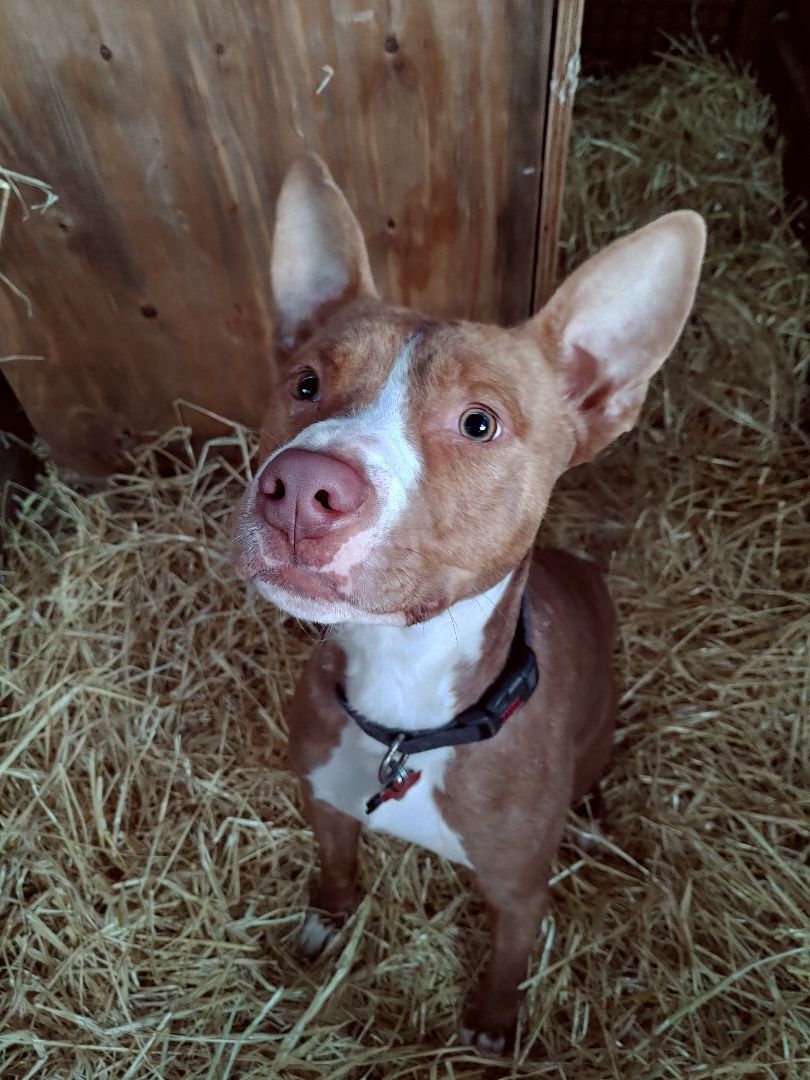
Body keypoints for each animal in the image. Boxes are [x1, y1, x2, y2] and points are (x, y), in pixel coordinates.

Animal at [231, 154, 708, 1054]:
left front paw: (489, 1028)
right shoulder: (325, 803)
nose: (302, 488)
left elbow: (505, 965)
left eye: (478, 423)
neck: (405, 712)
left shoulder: (519, 896)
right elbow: (336, 872)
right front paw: (324, 923)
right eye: (305, 382)